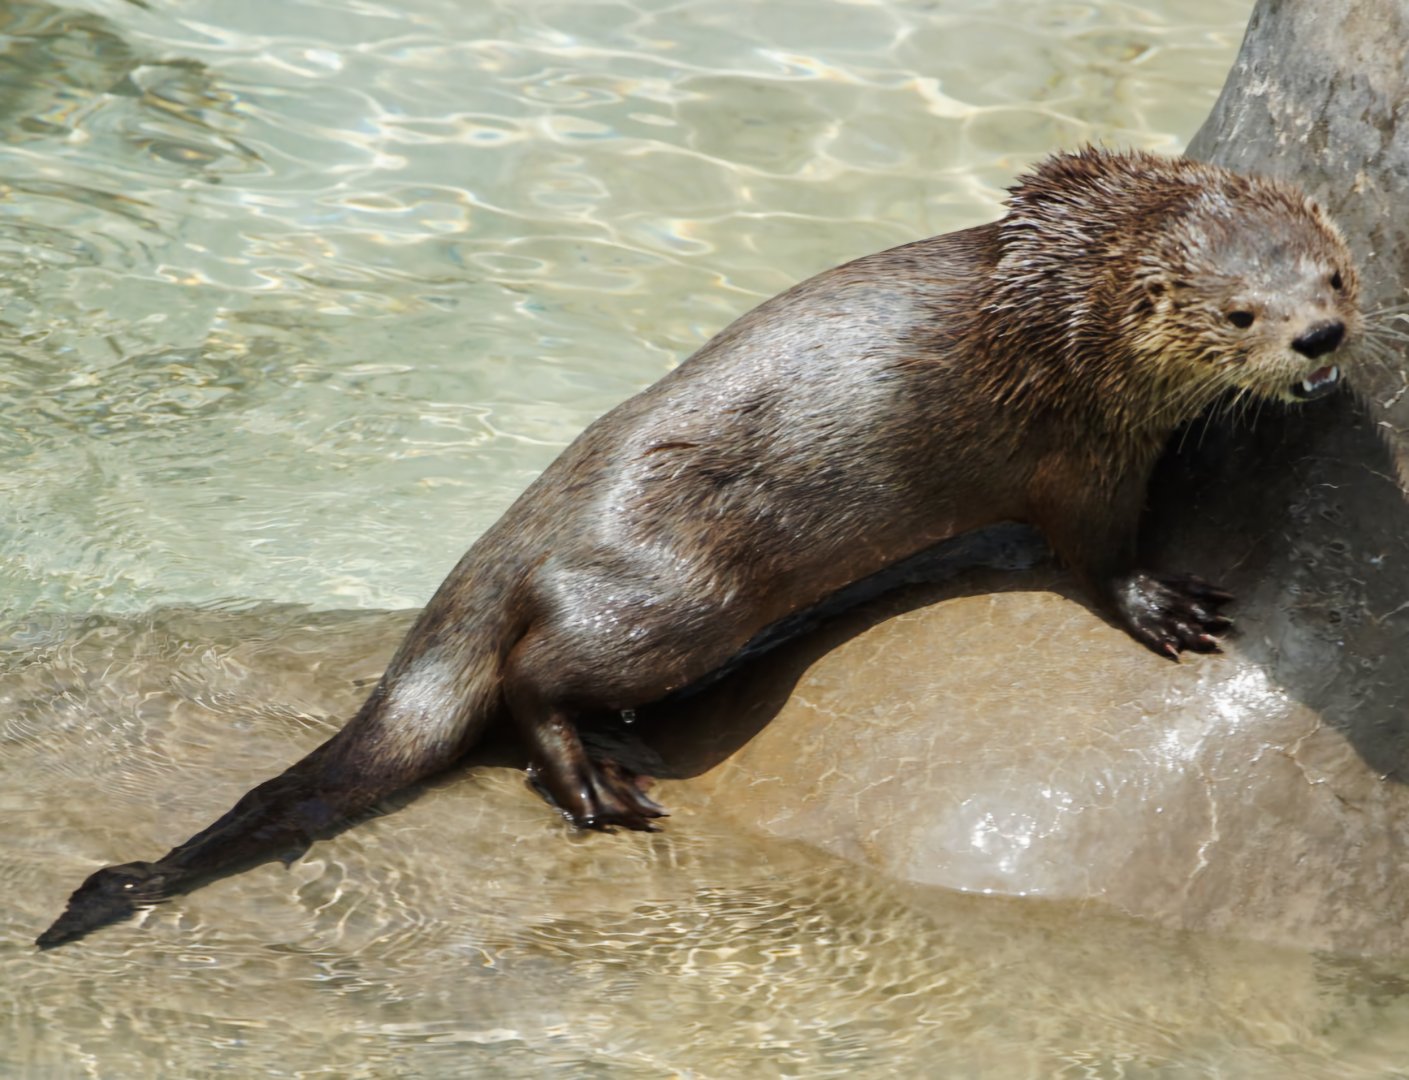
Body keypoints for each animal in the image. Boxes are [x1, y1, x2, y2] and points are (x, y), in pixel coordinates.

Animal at [38, 148, 1361, 948]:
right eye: (1238, 313)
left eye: (1335, 274)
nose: (1318, 338)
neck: (1063, 318)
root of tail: (520, 526)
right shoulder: (1077, 457)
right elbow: (1090, 557)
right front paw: (1165, 608)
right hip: (675, 598)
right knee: (530, 677)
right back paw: (590, 775)